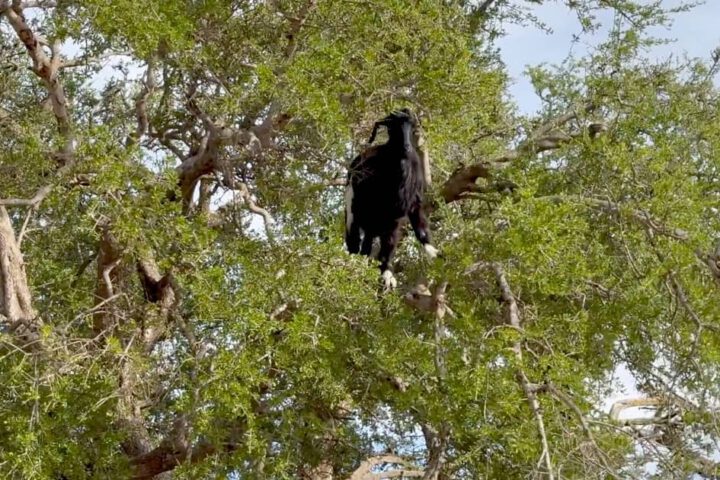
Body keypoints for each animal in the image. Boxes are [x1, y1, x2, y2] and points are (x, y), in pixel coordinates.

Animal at [345, 109, 438, 290]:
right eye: (391, 126)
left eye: (412, 126)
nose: (406, 147)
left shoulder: (408, 209)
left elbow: (419, 232)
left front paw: (434, 252)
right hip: (354, 213)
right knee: (354, 240)